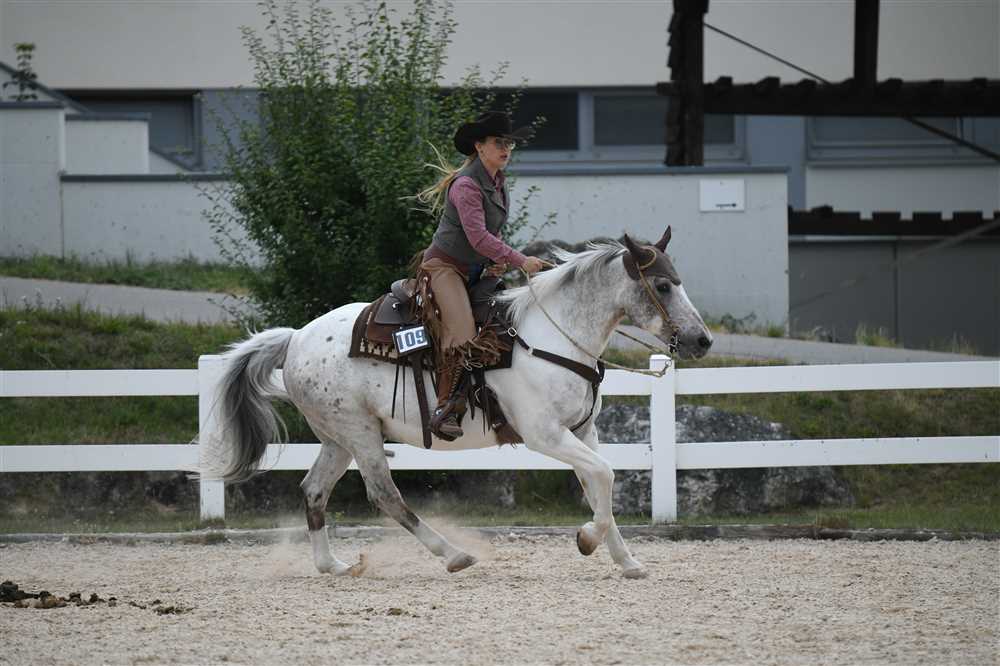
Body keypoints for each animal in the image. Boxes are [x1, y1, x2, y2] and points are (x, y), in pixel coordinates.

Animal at [202, 227, 713, 579]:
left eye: (678, 281)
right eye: (663, 286)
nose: (702, 340)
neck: (554, 337)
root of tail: (295, 339)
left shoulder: (584, 431)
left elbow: (598, 485)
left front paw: (627, 561)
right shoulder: (545, 434)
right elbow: (604, 476)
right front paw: (587, 540)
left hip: (338, 437)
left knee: (313, 490)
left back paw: (335, 566)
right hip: (359, 434)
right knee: (384, 495)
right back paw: (453, 554)